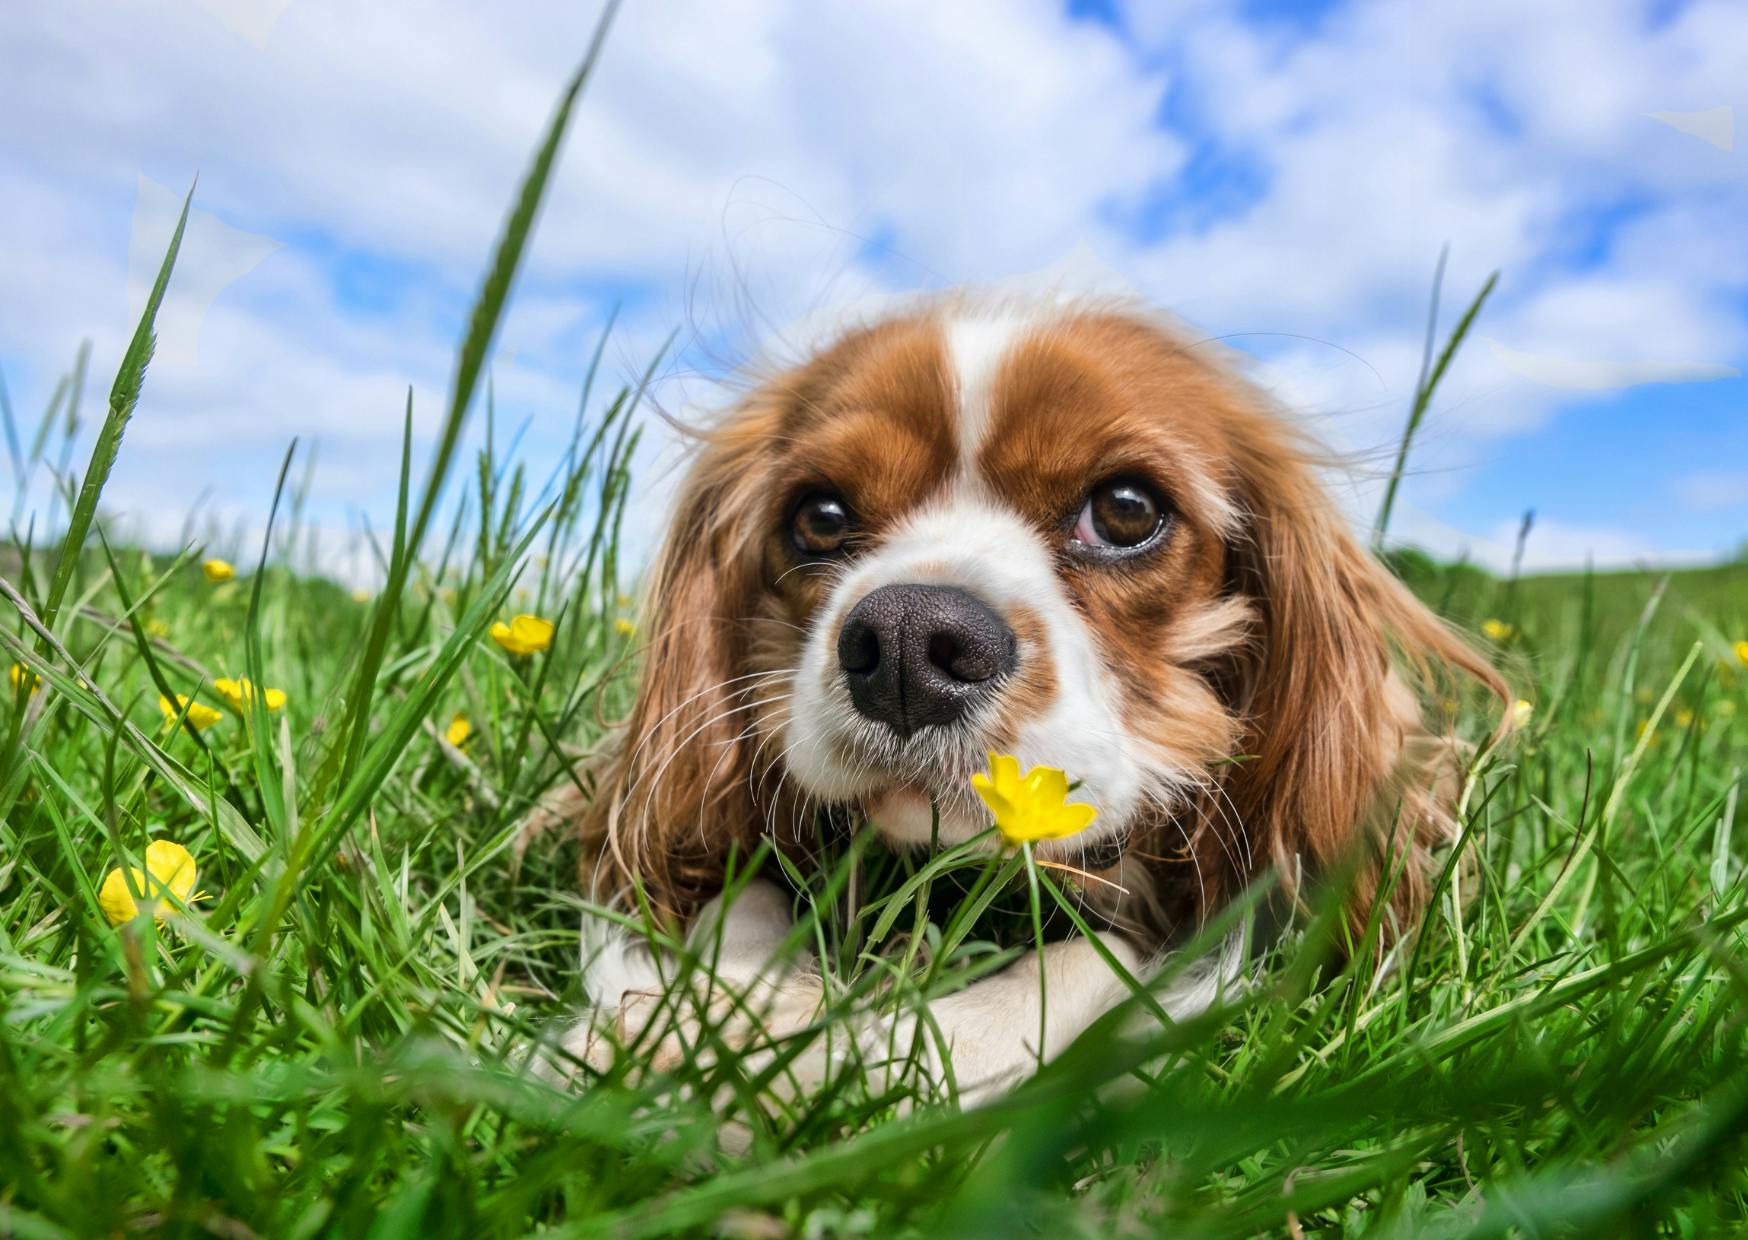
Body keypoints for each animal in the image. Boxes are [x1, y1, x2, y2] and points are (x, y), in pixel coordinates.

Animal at [552, 292, 1510, 1105]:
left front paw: (820, 1057)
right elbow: (735, 897)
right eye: (819, 517)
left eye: (1126, 509)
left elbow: (1088, 968)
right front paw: (699, 1015)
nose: (907, 643)